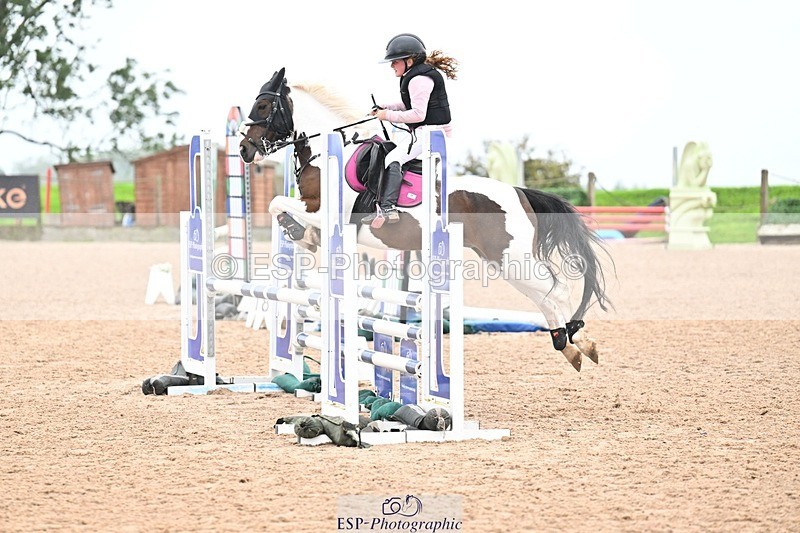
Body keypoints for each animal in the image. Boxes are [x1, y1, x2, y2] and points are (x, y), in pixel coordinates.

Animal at [239, 68, 613, 371]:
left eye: (263, 106)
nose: (244, 150)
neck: (329, 154)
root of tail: (518, 192)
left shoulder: (324, 210)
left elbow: (275, 203)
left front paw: (299, 231)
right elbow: (282, 210)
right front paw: (303, 236)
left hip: (511, 257)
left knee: (557, 290)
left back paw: (579, 343)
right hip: (503, 262)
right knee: (545, 296)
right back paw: (569, 345)